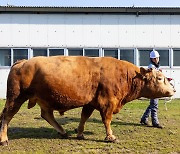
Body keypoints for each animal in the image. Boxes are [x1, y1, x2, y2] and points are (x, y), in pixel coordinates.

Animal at [0, 56, 175, 145]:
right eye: (160, 78)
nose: (173, 90)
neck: (126, 76)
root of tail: (22, 62)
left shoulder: (90, 102)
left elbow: (84, 117)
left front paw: (80, 133)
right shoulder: (107, 102)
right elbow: (107, 120)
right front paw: (110, 137)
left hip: (43, 99)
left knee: (47, 114)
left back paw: (63, 132)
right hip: (15, 97)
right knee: (6, 116)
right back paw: (3, 139)